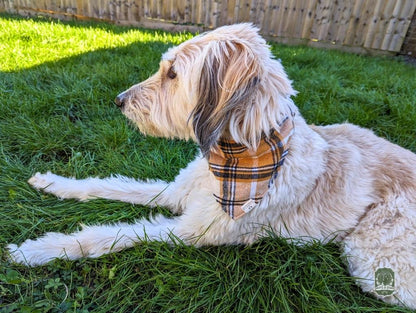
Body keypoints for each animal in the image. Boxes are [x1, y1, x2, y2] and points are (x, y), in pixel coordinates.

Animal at [6, 23, 416, 308]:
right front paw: (52, 183)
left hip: (375, 262)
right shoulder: (176, 192)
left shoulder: (190, 231)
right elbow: (109, 184)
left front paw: (38, 251)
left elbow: (109, 236)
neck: (234, 158)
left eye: (172, 74)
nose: (119, 101)